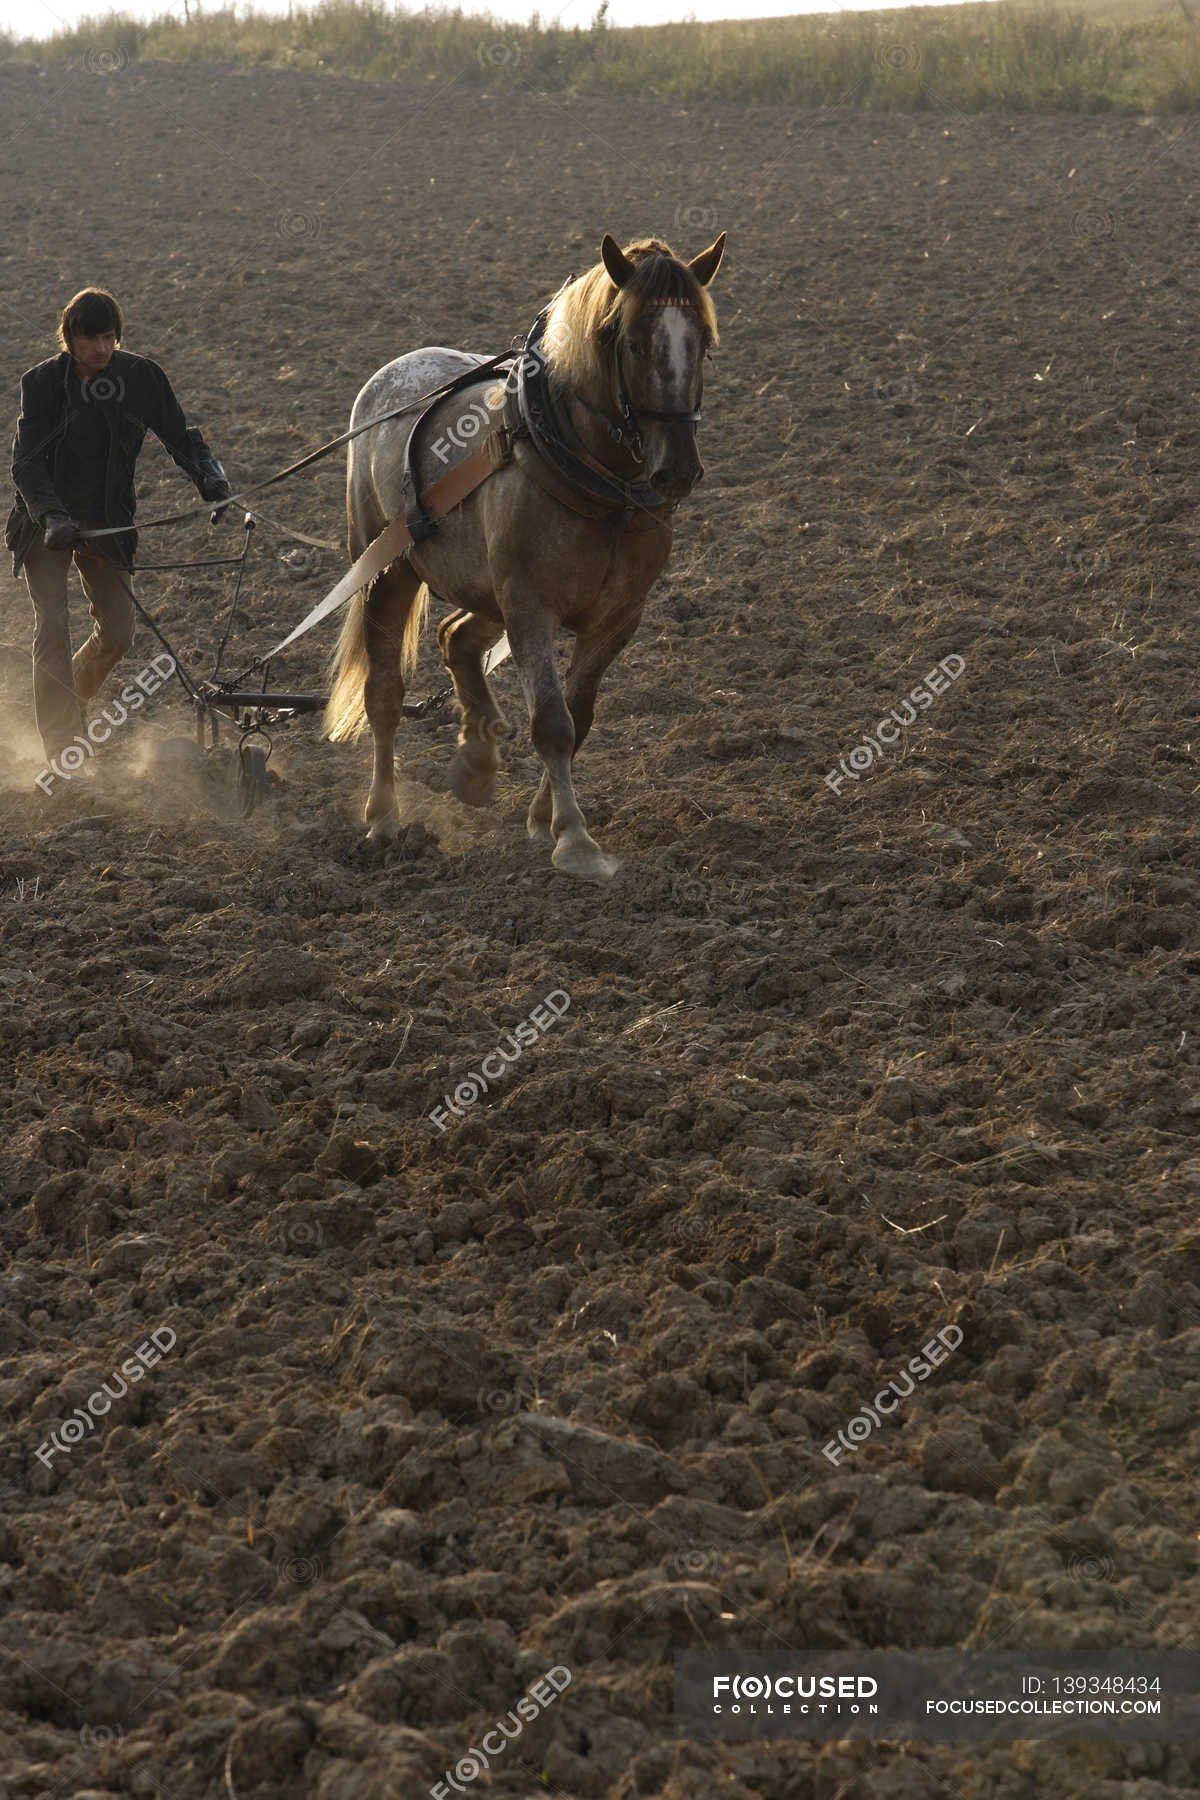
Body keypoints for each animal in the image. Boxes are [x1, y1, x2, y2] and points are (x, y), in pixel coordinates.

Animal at [323, 232, 726, 885]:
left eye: (704, 345)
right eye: (633, 342)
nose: (678, 470)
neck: (599, 489)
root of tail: (394, 371)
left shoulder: (617, 618)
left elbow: (579, 716)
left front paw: (543, 817)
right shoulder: (531, 607)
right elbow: (554, 724)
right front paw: (576, 839)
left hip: (484, 587)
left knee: (455, 637)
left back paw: (477, 756)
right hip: (389, 572)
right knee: (384, 694)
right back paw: (383, 815)